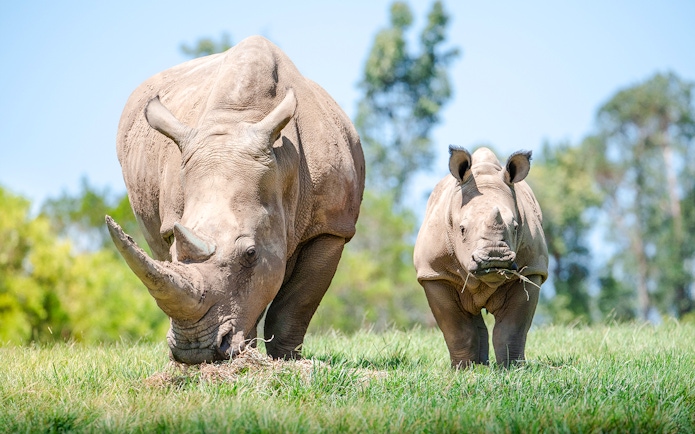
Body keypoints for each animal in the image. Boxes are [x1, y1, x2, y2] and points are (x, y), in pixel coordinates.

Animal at [106, 36, 365, 364]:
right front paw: (246, 357)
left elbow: (296, 303)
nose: (195, 351)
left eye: (251, 253)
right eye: (175, 248)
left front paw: (287, 361)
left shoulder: (331, 225)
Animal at [413, 146, 548, 367]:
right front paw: (462, 369)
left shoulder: (532, 269)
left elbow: (511, 330)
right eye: (462, 229)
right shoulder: (435, 273)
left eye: (516, 227)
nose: (495, 257)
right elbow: (458, 330)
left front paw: (512, 368)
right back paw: (477, 366)